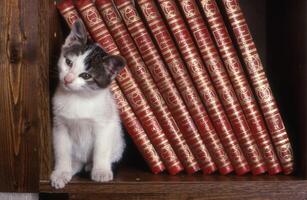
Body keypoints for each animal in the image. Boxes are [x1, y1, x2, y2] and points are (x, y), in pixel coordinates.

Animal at [50, 19, 126, 189]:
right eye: (68, 62)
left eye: (86, 75)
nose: (68, 79)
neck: (79, 98)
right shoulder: (60, 125)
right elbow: (62, 151)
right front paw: (61, 172)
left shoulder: (104, 125)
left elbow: (101, 149)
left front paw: (101, 171)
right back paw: (71, 168)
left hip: (118, 143)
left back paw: (92, 166)